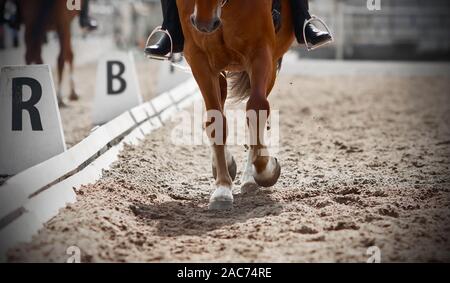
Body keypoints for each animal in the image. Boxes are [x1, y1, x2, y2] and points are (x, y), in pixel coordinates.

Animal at [178, 0, 298, 209]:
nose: (204, 24)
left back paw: (250, 177)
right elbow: (216, 122)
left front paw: (266, 170)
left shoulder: (260, 52)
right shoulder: (199, 59)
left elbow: (257, 108)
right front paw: (222, 188)